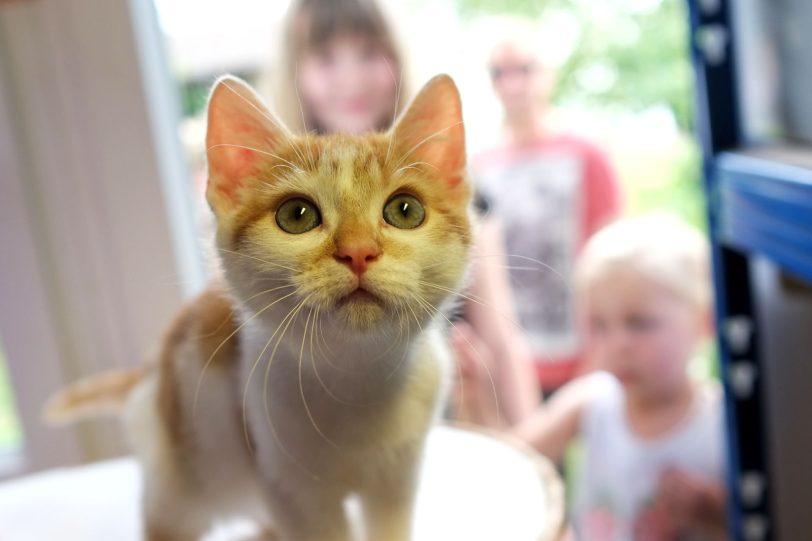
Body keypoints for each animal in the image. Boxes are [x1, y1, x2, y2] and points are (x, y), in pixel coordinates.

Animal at [47, 73, 472, 540]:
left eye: (405, 210)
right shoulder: (288, 484)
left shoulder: (398, 479)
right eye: (297, 215)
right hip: (184, 470)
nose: (359, 252)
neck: (357, 378)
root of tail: (152, 370)